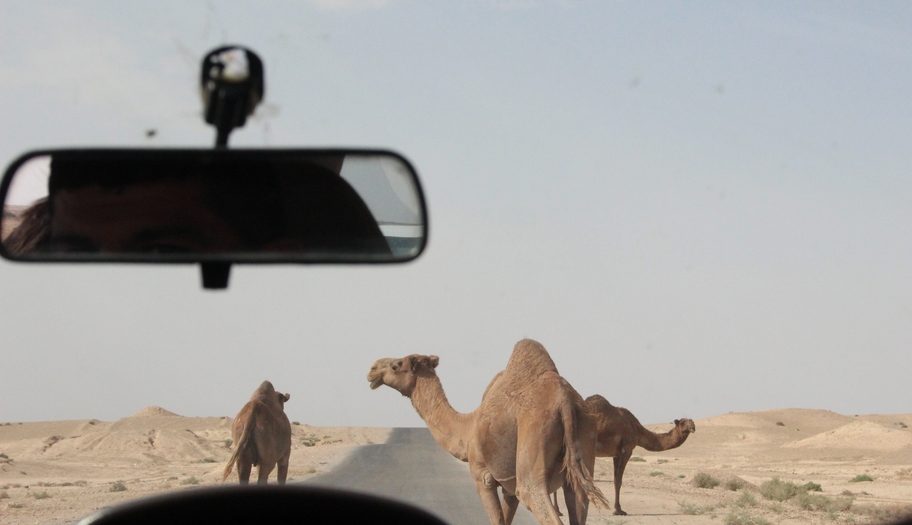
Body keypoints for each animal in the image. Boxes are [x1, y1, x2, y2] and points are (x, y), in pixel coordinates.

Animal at [366, 338, 608, 520]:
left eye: (396, 365)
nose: (372, 369)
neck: (468, 428)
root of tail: (565, 401)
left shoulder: (483, 477)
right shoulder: (509, 488)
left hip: (534, 438)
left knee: (533, 494)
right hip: (584, 439)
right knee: (578, 498)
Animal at [552, 396, 696, 512]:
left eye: (691, 421)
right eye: (683, 423)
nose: (693, 426)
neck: (637, 429)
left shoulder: (616, 453)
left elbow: (616, 479)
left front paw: (617, 508)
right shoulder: (627, 449)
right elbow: (619, 480)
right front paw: (618, 510)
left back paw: (558, 510)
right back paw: (558, 510)